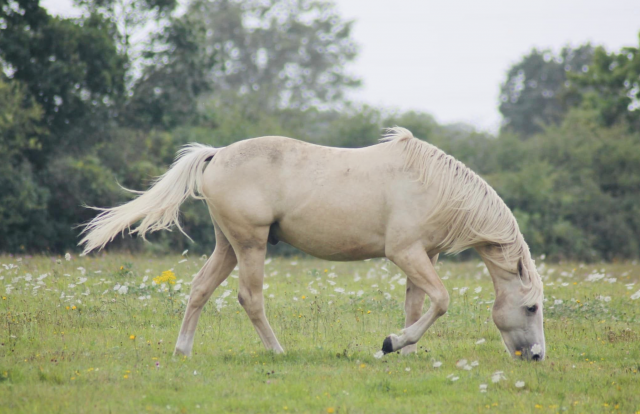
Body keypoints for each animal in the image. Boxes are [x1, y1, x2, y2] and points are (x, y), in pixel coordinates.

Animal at [79, 128, 544, 360]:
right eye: (532, 308)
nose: (537, 356)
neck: (434, 185)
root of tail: (217, 153)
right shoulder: (405, 254)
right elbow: (442, 300)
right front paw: (392, 343)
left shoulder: (421, 257)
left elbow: (418, 305)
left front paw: (404, 349)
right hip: (251, 246)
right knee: (250, 298)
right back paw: (277, 351)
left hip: (227, 246)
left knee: (199, 290)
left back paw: (183, 351)